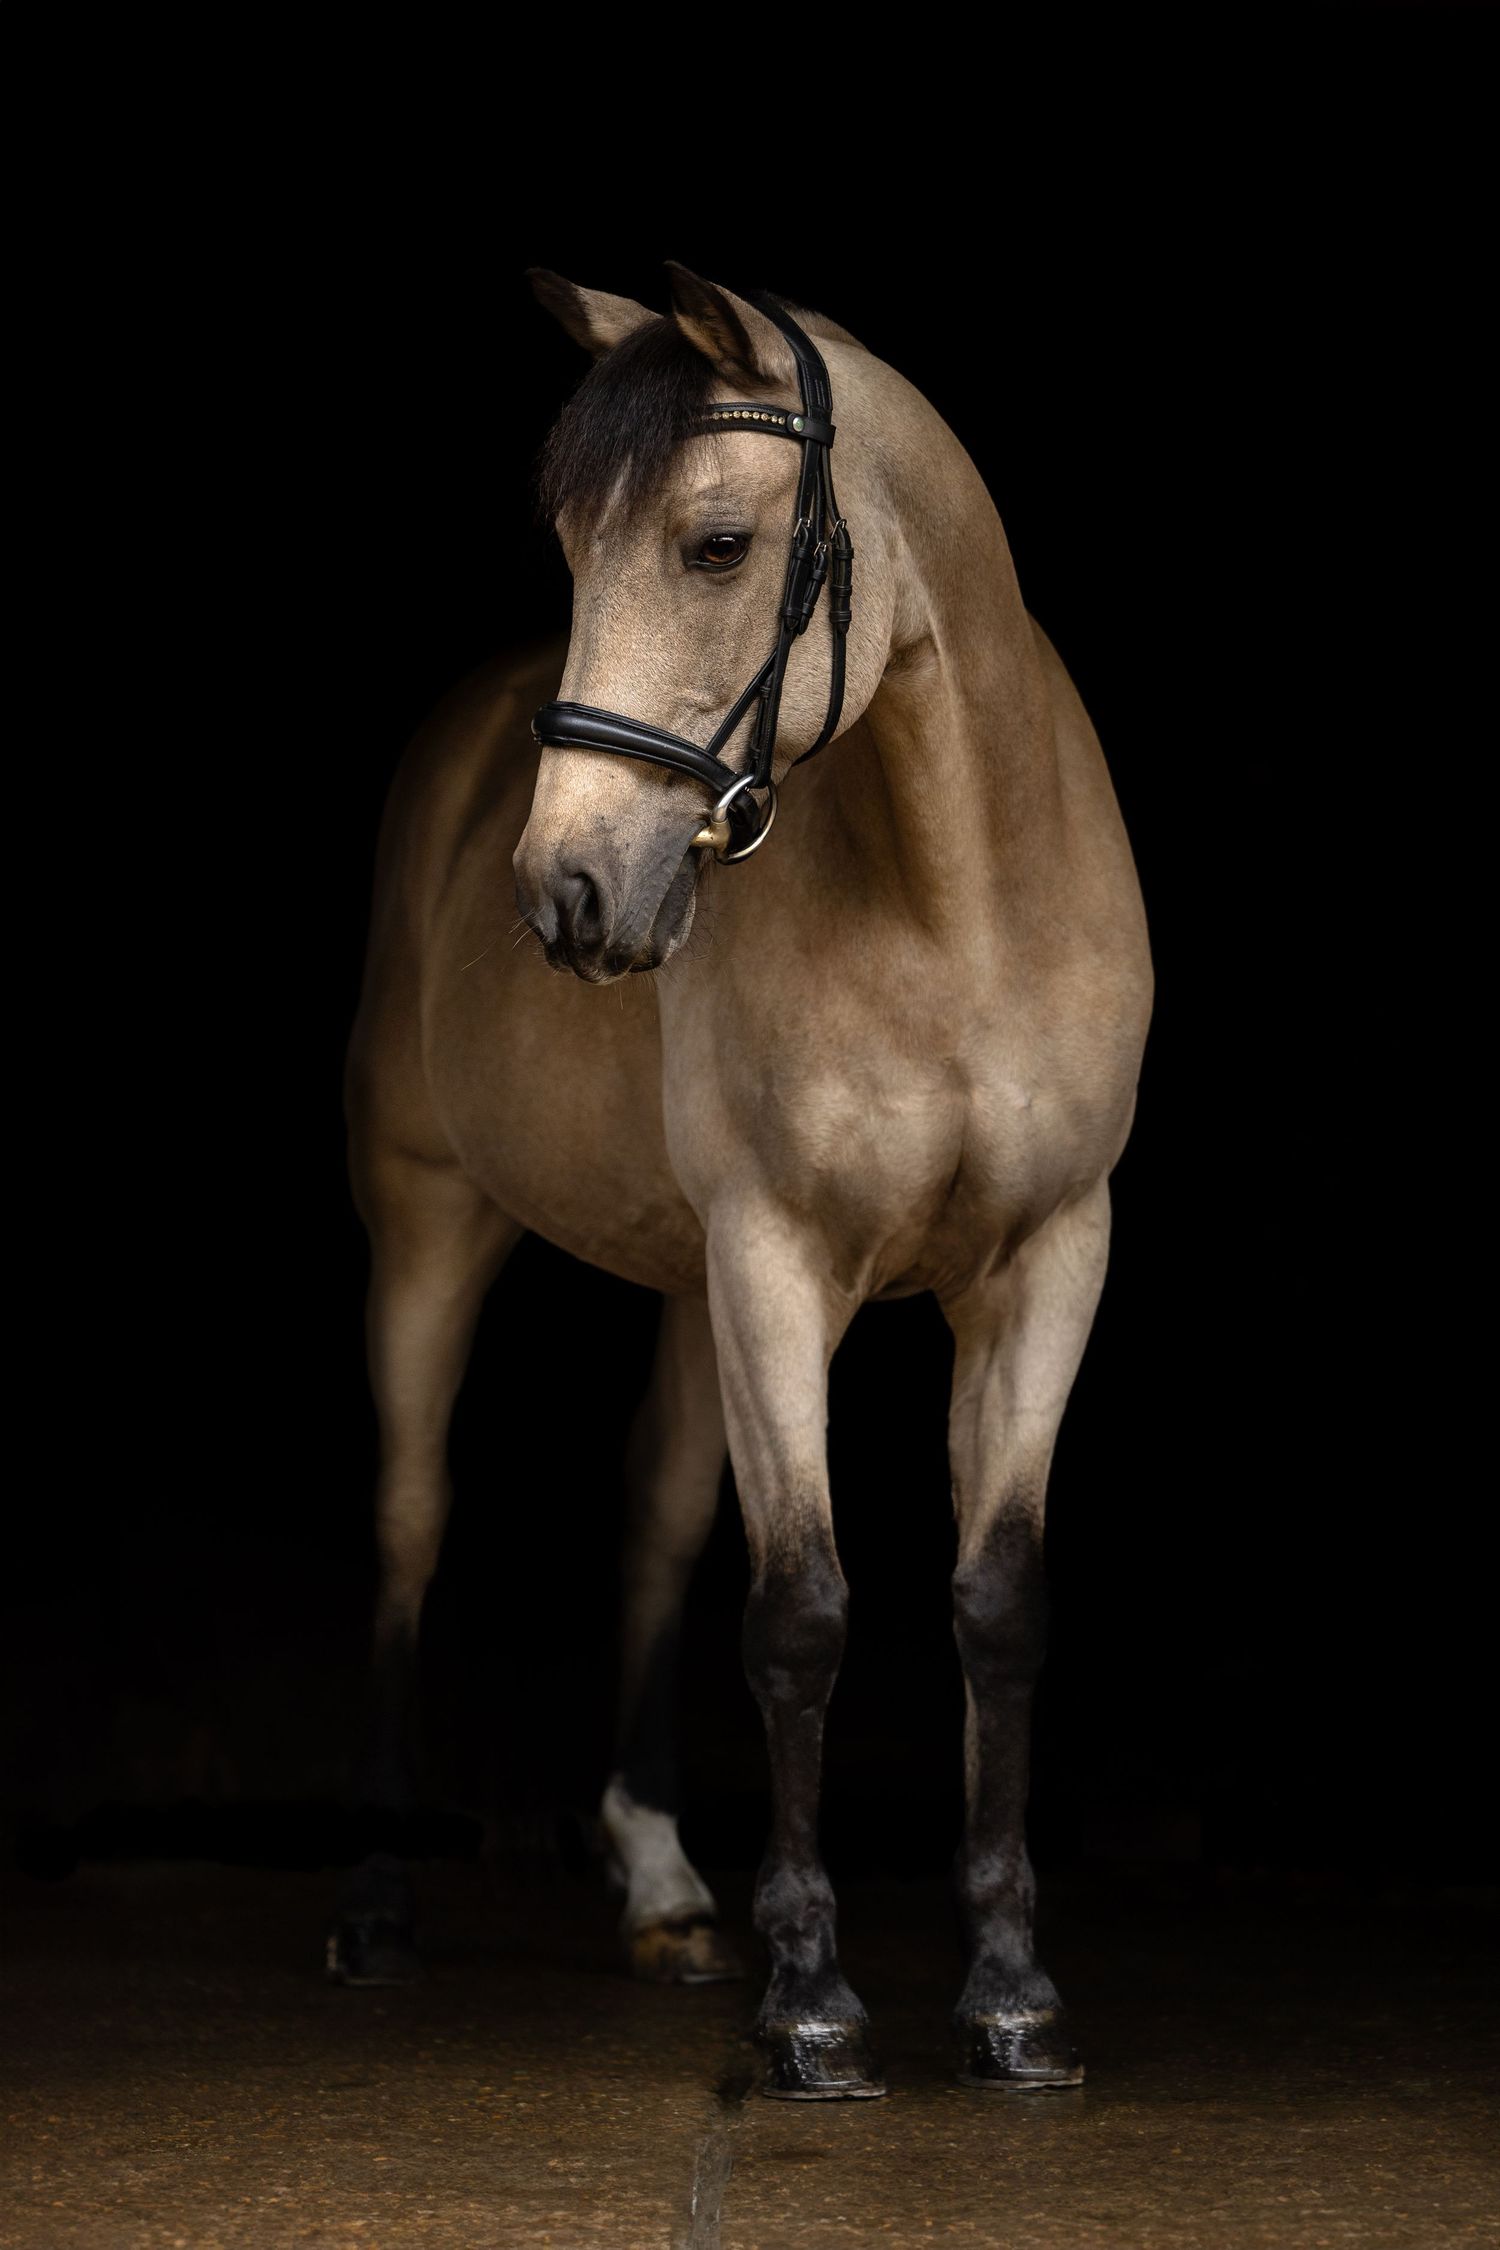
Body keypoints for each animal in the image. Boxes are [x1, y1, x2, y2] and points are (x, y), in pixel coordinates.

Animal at [329, 263, 1153, 2101]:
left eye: (715, 544)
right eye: (569, 548)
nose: (566, 893)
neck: (956, 898)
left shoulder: (1045, 1263)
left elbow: (997, 1601)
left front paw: (1012, 1996)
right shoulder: (778, 1260)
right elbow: (801, 1612)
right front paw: (814, 2006)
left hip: (689, 1280)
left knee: (655, 1511)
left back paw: (663, 1889)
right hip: (433, 1225)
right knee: (409, 1523)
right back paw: (377, 1906)